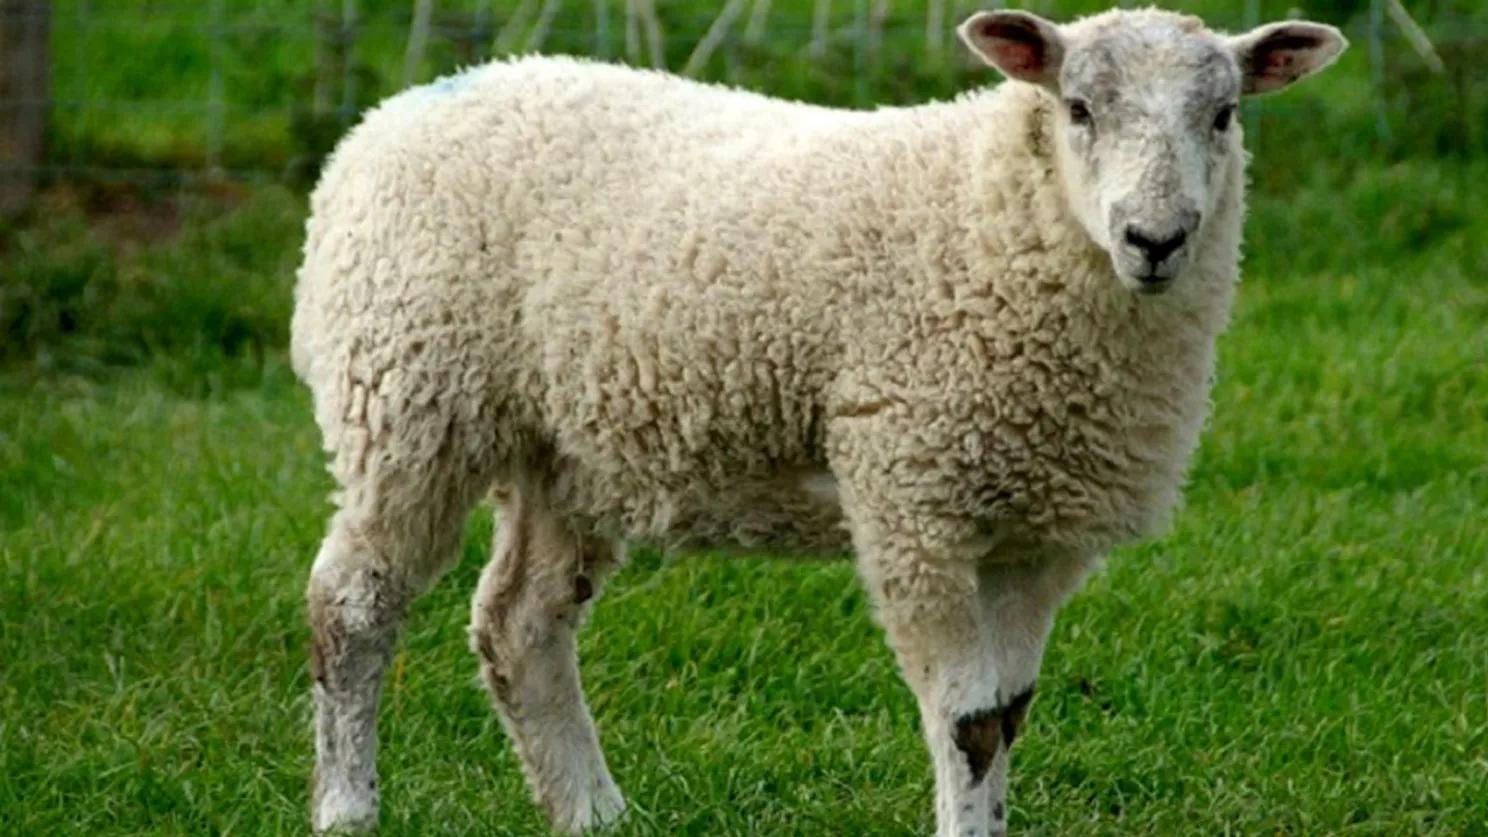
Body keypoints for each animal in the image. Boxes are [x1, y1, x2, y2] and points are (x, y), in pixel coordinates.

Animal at [291, 8, 1346, 835]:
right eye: (1078, 108)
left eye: (1224, 114)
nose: (1156, 240)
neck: (996, 217)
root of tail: (387, 119)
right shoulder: (914, 500)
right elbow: (966, 720)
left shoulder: (1040, 531)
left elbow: (1009, 712)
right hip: (408, 395)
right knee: (352, 604)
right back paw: (348, 806)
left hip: (568, 445)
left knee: (520, 623)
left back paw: (591, 810)